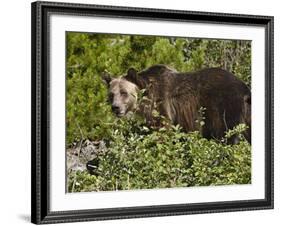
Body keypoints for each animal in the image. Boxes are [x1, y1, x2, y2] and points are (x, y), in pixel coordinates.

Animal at [102, 64, 249, 144]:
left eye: (124, 92)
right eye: (111, 94)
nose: (115, 107)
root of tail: (244, 88)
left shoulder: (161, 103)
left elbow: (162, 129)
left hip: (224, 107)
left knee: (226, 133)